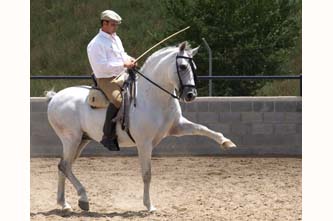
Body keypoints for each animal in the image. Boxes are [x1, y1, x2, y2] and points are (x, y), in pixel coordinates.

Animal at [46, 41, 235, 212]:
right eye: (182, 67)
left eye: (193, 66)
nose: (191, 94)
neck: (152, 97)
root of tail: (55, 97)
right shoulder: (144, 143)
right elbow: (147, 174)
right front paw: (149, 206)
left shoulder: (177, 127)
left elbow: (202, 129)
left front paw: (226, 142)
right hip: (71, 140)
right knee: (64, 166)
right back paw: (82, 198)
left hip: (82, 140)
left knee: (64, 166)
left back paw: (64, 203)